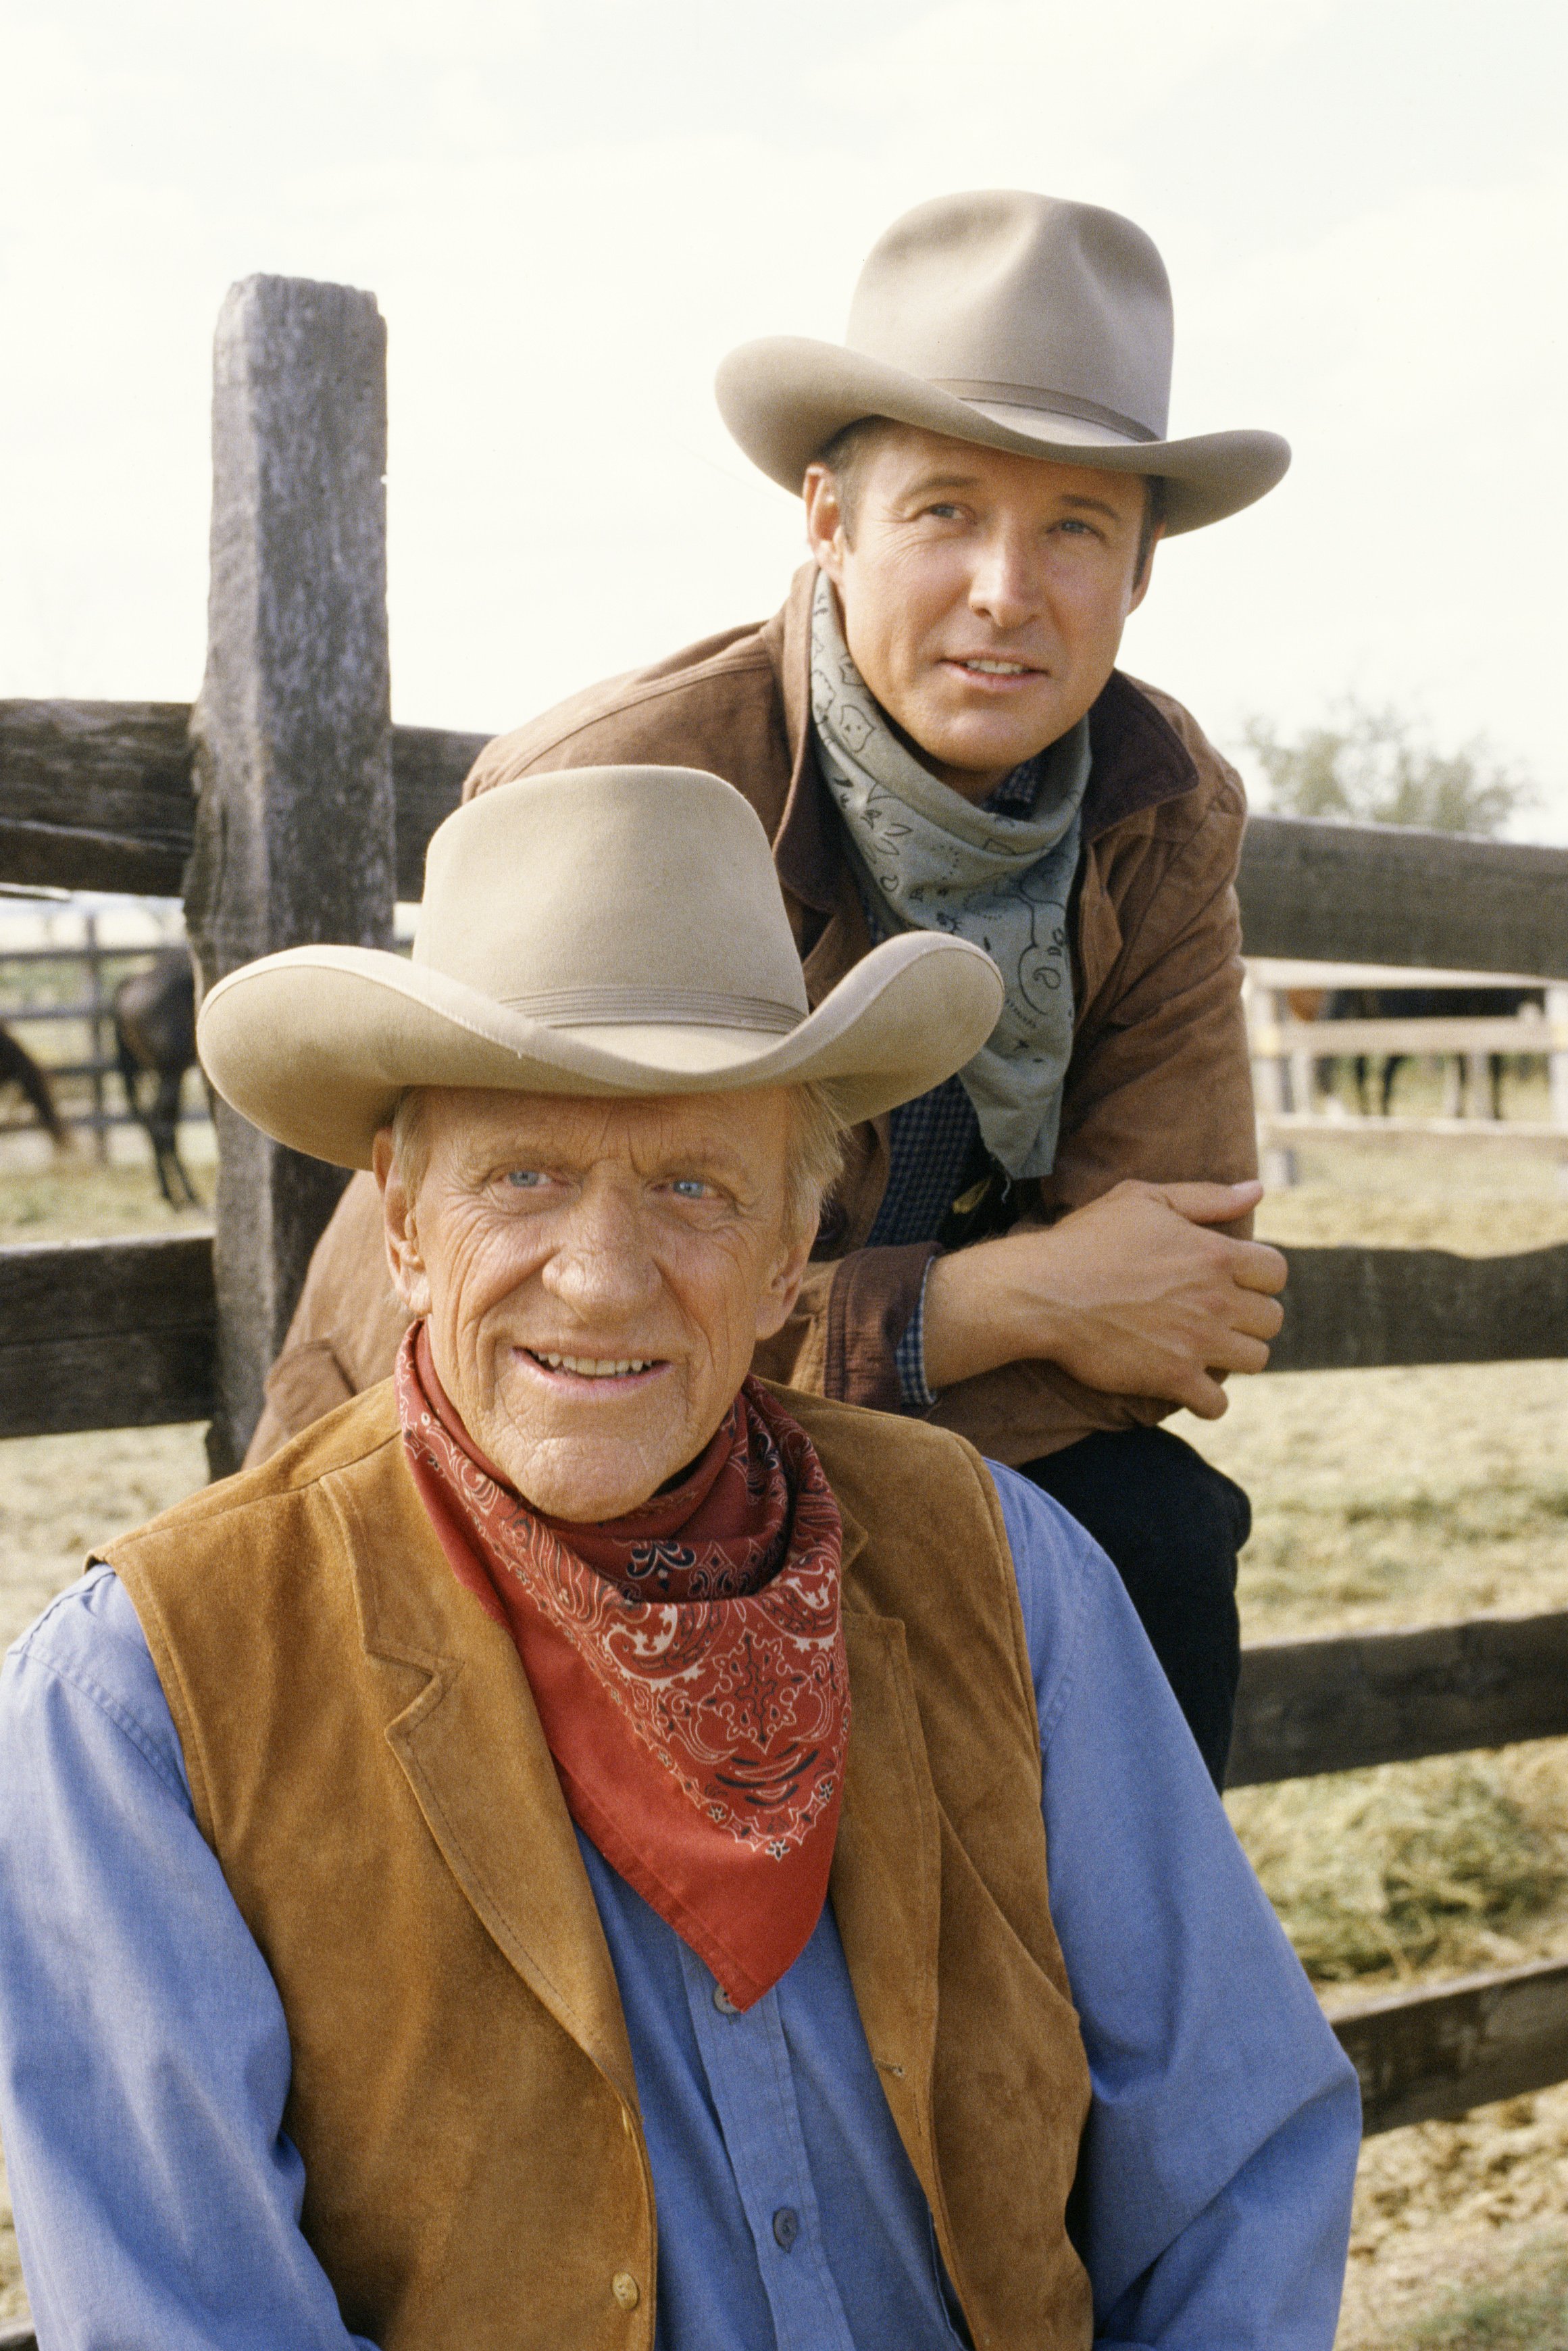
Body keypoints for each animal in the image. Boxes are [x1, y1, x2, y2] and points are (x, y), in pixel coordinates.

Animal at [116, 945, 202, 1213]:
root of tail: (133, 981)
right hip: (171, 1070)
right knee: (162, 1125)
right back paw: (184, 1195)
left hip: (168, 1072)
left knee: (158, 1122)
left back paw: (170, 1192)